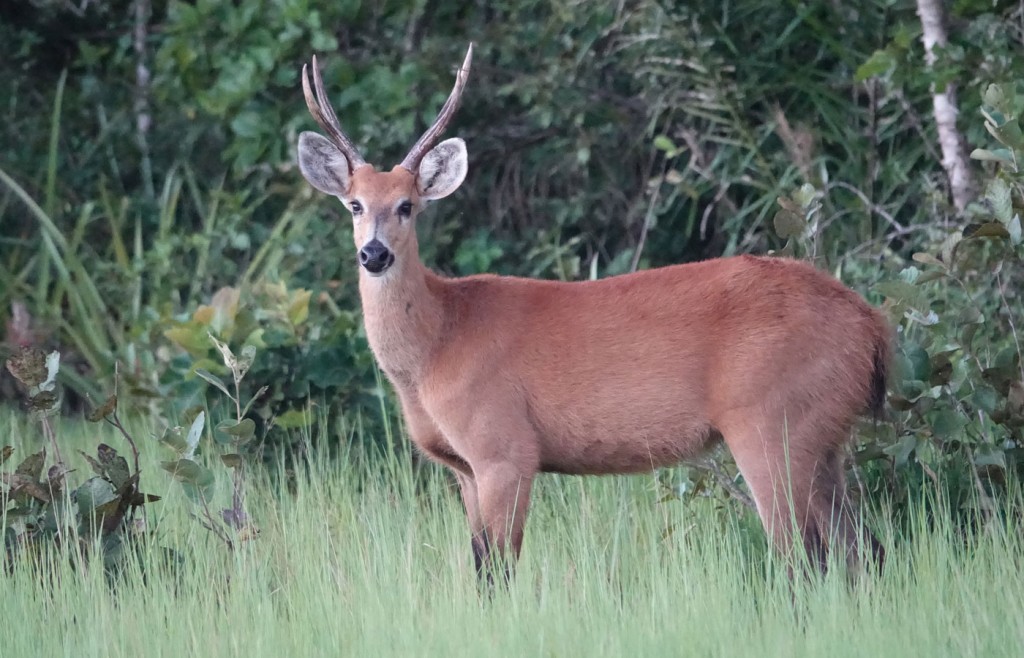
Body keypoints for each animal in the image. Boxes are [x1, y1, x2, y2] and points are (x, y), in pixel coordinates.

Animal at [294, 46, 888, 581]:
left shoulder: (504, 446)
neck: (438, 345)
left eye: (407, 206)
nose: (374, 254)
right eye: (354, 204)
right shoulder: (463, 469)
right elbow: (480, 564)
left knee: (803, 556)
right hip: (824, 436)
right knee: (863, 550)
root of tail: (870, 324)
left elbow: (499, 572)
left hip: (770, 421)